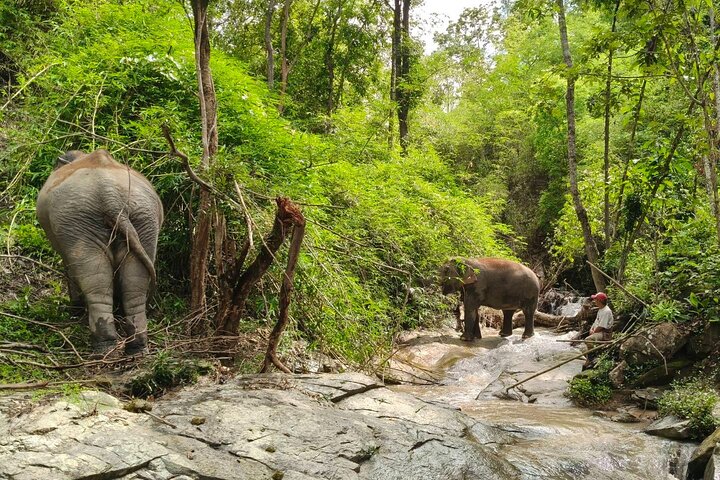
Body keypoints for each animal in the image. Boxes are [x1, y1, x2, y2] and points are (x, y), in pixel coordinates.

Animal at [36, 149, 163, 356]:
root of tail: (112, 199)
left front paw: (75, 310)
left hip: (78, 223)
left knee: (96, 280)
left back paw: (104, 348)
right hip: (145, 220)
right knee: (135, 283)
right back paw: (136, 348)